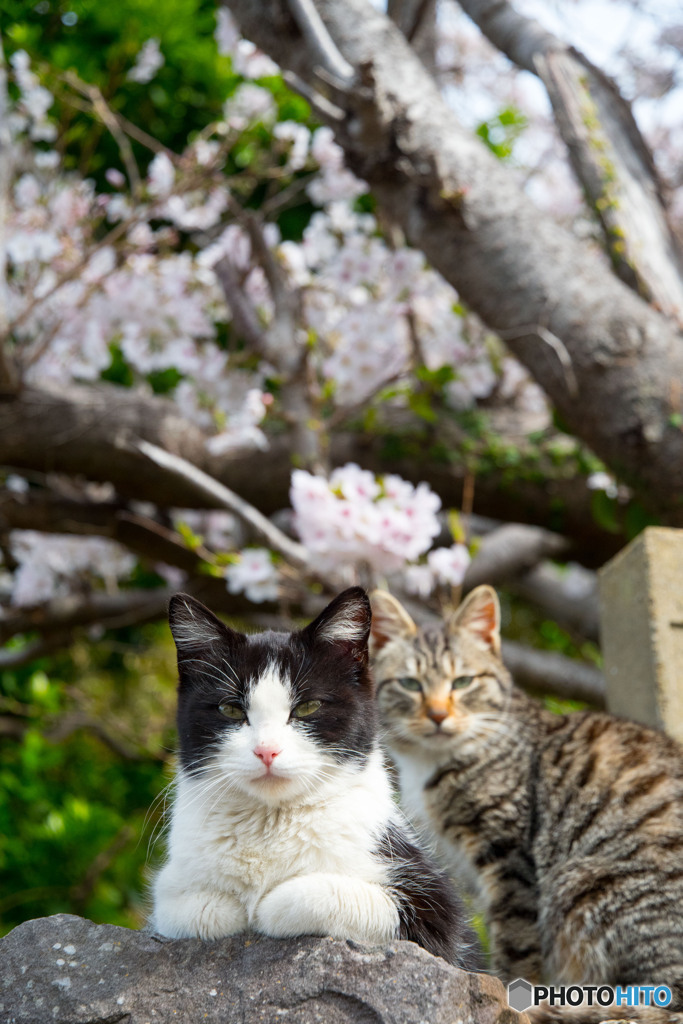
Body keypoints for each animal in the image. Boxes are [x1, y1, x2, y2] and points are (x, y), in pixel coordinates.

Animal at [149, 585, 481, 966]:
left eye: (307, 707)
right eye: (230, 710)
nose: (267, 750)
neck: (271, 823)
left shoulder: (436, 909)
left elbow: (319, 896)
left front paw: (265, 906)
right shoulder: (171, 895)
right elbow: (190, 907)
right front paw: (234, 905)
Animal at [370, 585, 683, 1007]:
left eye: (463, 682)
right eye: (410, 684)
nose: (437, 715)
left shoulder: (509, 857)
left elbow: (516, 946)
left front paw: (510, 993)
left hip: (578, 882)